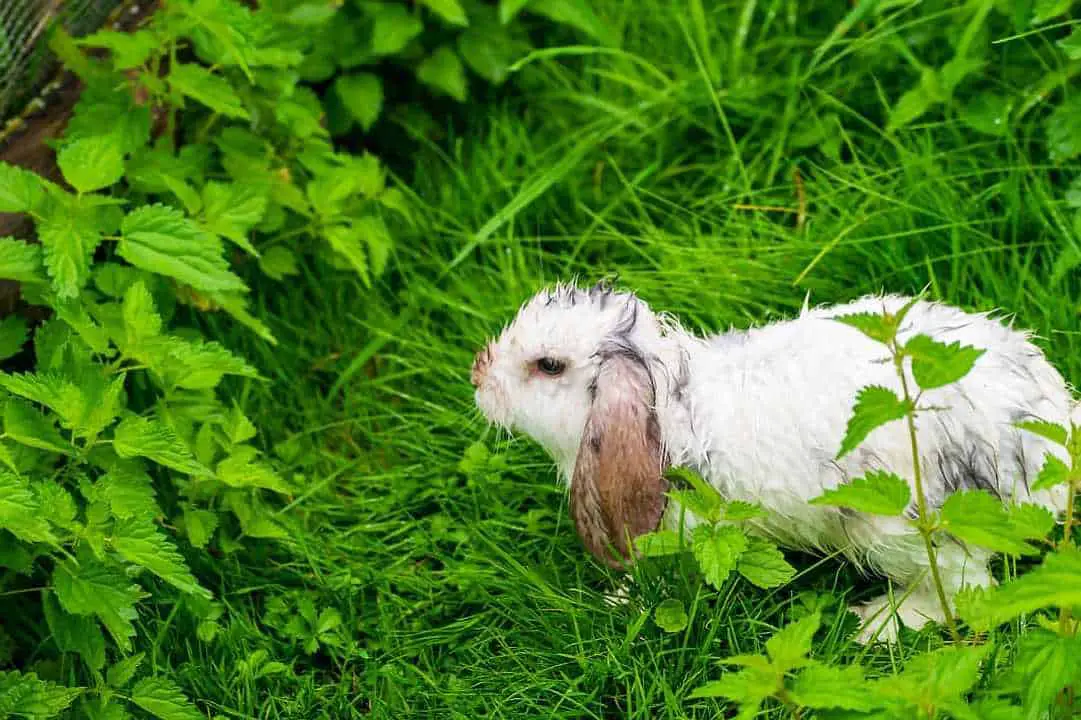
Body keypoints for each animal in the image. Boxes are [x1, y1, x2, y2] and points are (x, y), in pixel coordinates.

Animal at [469, 278, 1076, 640]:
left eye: (549, 366)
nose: (479, 376)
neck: (669, 406)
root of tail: (1044, 449)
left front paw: (618, 602)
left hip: (901, 531)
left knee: (963, 587)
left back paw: (878, 623)